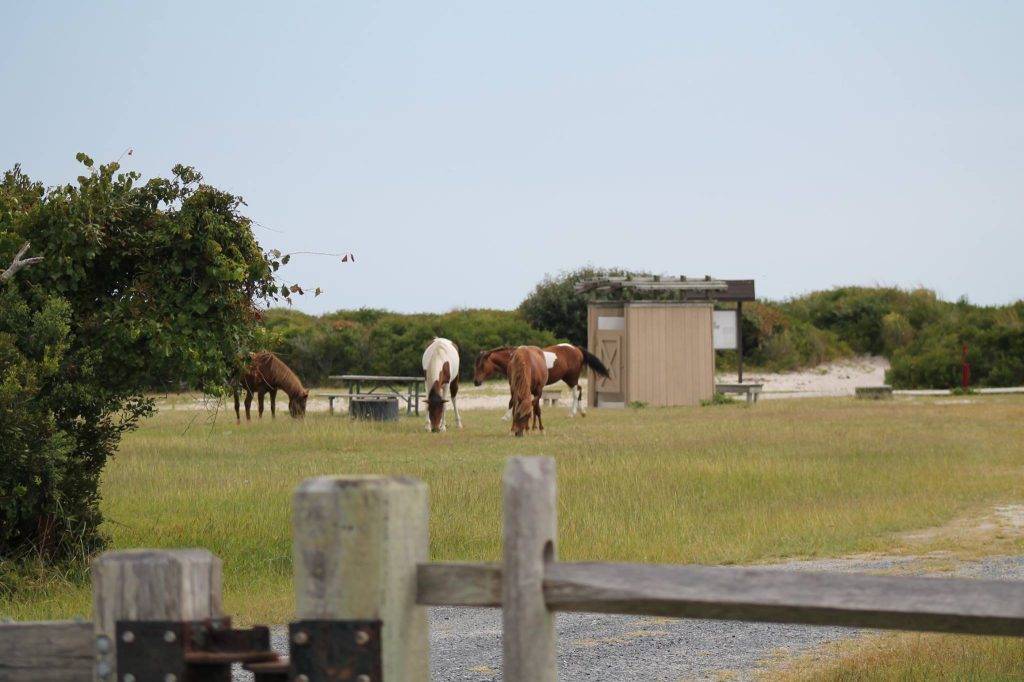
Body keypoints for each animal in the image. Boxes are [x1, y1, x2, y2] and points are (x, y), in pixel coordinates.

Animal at [473, 339, 606, 413]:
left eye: (481, 365)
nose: (476, 382)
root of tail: (576, 349)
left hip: (572, 378)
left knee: (575, 392)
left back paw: (573, 413)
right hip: (569, 379)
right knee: (579, 389)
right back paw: (581, 411)